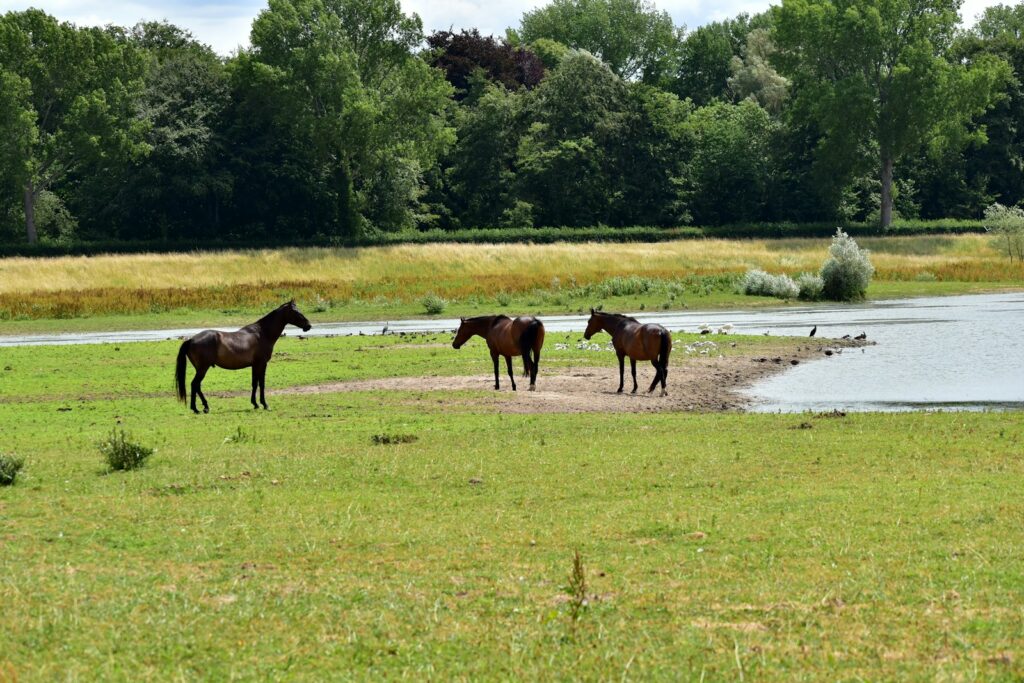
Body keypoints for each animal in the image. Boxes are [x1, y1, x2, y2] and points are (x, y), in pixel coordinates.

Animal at [175, 300, 311, 413]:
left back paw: (203, 407)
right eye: (296, 311)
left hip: (201, 369)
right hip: (203, 368)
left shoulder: (254, 365)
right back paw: (197, 408)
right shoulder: (262, 364)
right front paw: (265, 404)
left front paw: (255, 404)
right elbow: (261, 384)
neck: (262, 333)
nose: (308, 325)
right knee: (195, 384)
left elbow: (254, 383)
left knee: (197, 386)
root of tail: (191, 340)